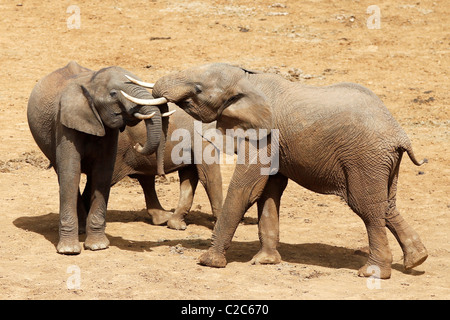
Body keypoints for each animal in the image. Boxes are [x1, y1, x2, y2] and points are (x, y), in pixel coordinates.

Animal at [27, 60, 171, 255]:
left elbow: (103, 173)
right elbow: (70, 172)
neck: (90, 83)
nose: (138, 145)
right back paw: (80, 230)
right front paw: (69, 250)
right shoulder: (64, 123)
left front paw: (98, 246)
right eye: (113, 94)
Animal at [110, 102, 223, 230]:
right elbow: (209, 177)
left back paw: (163, 218)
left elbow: (190, 176)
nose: (137, 145)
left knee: (146, 179)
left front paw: (176, 225)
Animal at [139, 62, 430, 278]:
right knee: (386, 205)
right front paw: (265, 261)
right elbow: (269, 192)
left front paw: (209, 262)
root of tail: (400, 134)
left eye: (198, 89)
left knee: (367, 207)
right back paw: (417, 260)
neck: (247, 80)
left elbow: (246, 189)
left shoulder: (264, 135)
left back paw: (372, 273)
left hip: (364, 158)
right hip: (382, 161)